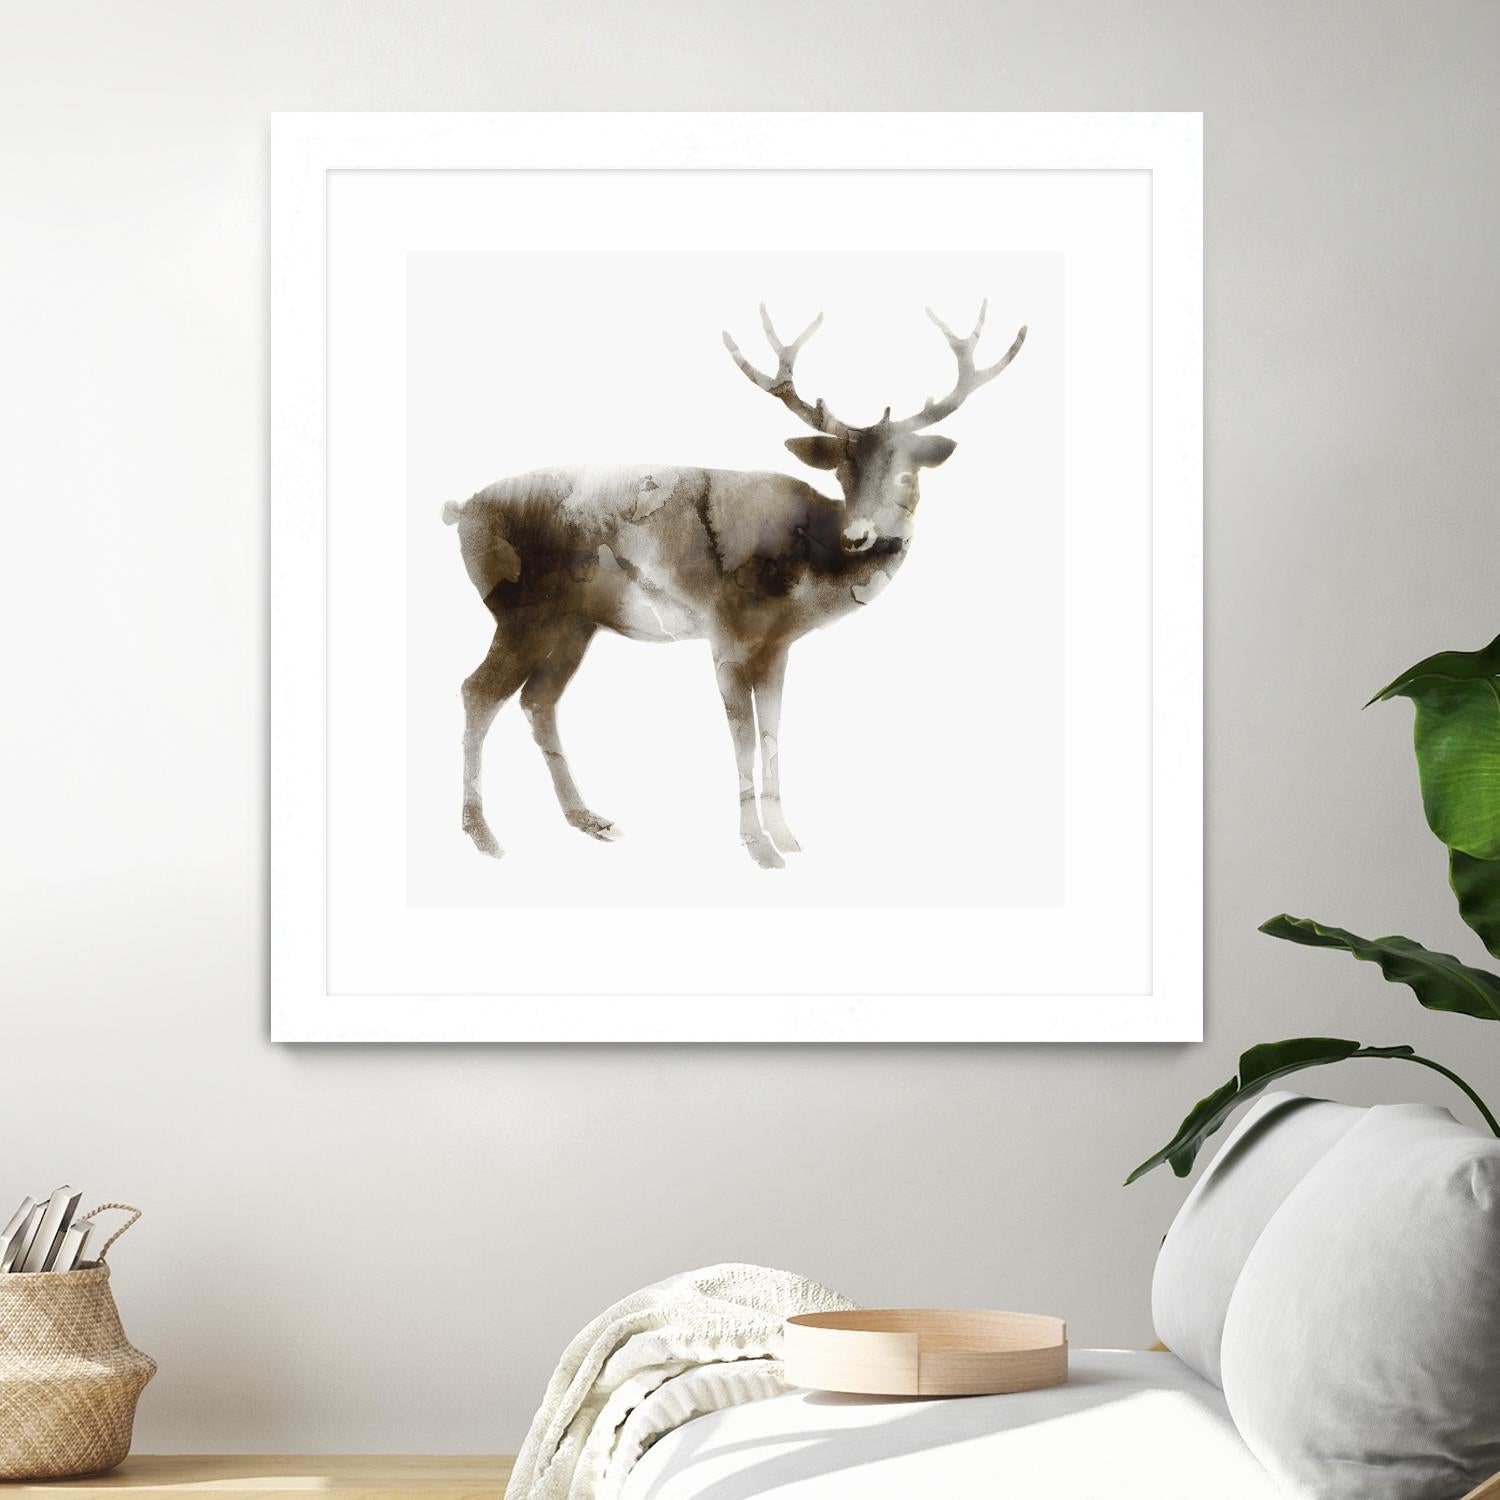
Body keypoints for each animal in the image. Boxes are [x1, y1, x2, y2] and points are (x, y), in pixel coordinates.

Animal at [442, 302, 1026, 869]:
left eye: (908, 473)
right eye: (841, 472)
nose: (860, 536)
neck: (807, 577)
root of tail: (461, 511)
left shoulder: (777, 647)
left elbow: (772, 732)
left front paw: (787, 836)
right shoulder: (725, 634)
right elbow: (743, 739)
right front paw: (759, 847)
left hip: (573, 625)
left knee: (538, 701)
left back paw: (588, 819)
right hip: (521, 612)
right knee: (478, 691)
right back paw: (483, 835)